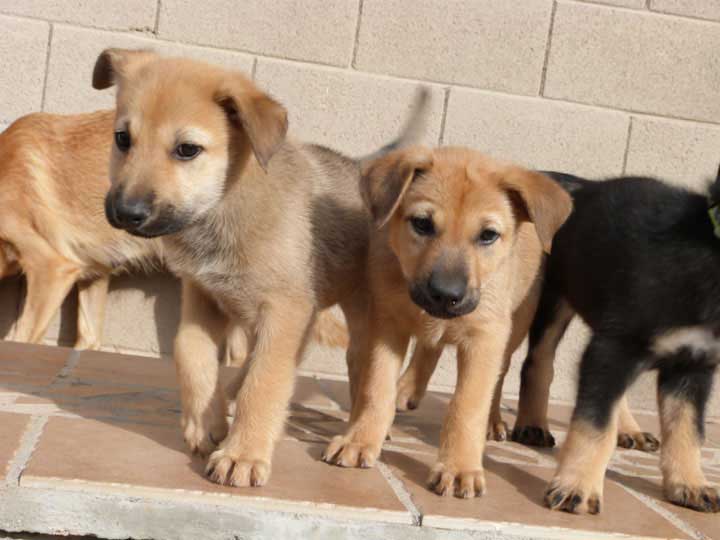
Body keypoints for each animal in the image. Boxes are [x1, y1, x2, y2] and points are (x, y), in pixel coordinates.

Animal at [92, 48, 424, 488]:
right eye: (122, 139)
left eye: (187, 149)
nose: (125, 213)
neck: (225, 207)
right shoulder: (203, 297)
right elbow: (189, 352)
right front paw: (205, 423)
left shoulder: (285, 312)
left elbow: (265, 382)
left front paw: (243, 453)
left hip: (364, 315)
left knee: (364, 372)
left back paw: (361, 435)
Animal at [324, 147, 572, 498]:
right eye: (422, 224)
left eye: (488, 235)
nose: (445, 295)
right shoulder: (386, 323)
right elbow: (375, 387)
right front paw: (360, 439)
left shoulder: (485, 337)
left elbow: (467, 405)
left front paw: (459, 468)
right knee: (429, 348)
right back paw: (407, 391)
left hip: (515, 326)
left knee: (498, 375)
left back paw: (492, 421)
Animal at [524, 170, 720, 516]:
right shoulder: (613, 347)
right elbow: (595, 424)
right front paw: (577, 486)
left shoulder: (693, 365)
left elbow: (688, 429)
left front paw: (690, 484)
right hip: (553, 298)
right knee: (539, 361)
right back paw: (533, 425)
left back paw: (630, 430)